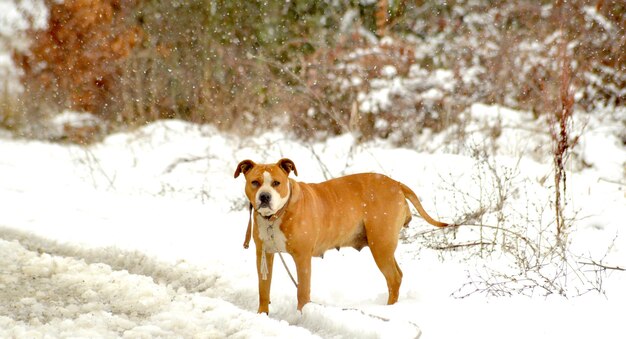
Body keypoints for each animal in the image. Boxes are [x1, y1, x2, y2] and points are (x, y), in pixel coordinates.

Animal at [232, 158, 446, 314]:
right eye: (255, 182)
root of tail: (397, 184)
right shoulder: (264, 255)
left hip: (380, 245)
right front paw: (262, 314)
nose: (264, 196)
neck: (276, 216)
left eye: (276, 183)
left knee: (393, 278)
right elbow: (263, 288)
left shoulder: (302, 258)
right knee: (398, 275)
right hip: (383, 245)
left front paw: (302, 315)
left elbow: (302, 291)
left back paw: (389, 310)